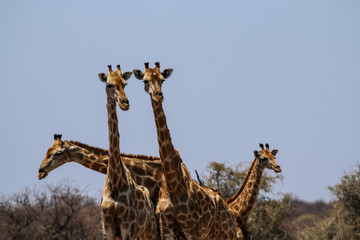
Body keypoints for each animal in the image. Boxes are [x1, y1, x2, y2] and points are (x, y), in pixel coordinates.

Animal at [97, 64, 158, 239]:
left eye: (125, 84)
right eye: (108, 84)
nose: (125, 103)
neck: (114, 179)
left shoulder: (127, 228)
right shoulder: (107, 230)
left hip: (148, 230)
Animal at [133, 62, 239, 240]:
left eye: (162, 79)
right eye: (145, 80)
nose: (158, 95)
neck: (173, 182)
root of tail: (228, 207)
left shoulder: (191, 229)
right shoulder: (166, 229)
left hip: (227, 233)